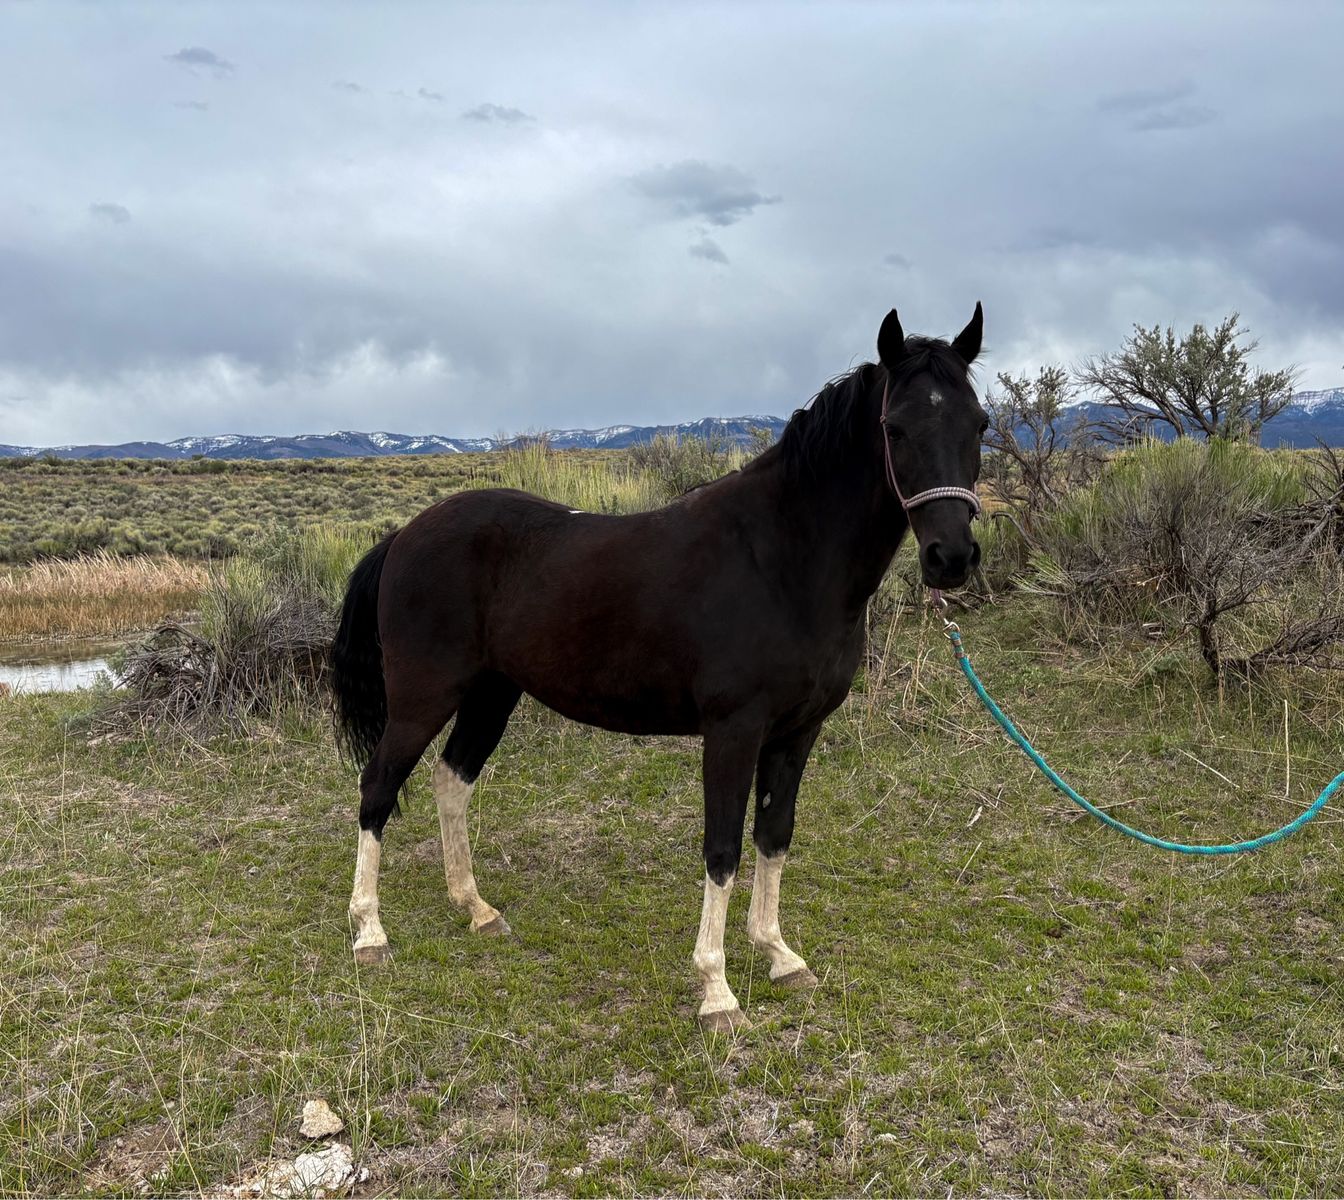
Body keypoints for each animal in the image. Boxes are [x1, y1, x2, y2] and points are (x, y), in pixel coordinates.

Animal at [330, 304, 988, 1031]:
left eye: (980, 423)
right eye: (895, 427)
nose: (952, 557)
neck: (781, 561)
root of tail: (403, 536)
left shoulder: (798, 732)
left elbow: (775, 835)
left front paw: (780, 956)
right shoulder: (733, 731)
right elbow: (723, 848)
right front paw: (717, 991)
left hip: (491, 695)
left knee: (452, 782)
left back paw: (476, 909)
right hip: (423, 696)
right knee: (378, 787)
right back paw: (369, 934)